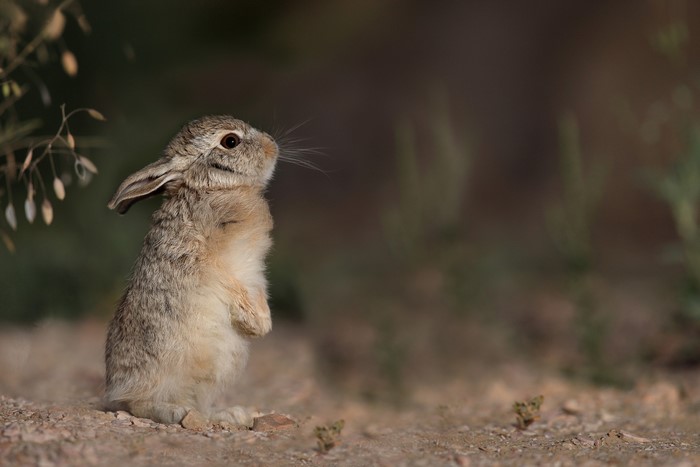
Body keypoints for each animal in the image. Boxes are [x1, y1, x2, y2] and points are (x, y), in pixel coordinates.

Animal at [104, 115, 279, 427]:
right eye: (230, 141)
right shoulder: (208, 261)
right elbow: (228, 284)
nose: (272, 146)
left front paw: (261, 324)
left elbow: (257, 291)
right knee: (138, 404)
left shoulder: (255, 273)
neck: (214, 188)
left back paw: (229, 414)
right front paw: (257, 324)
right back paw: (175, 412)